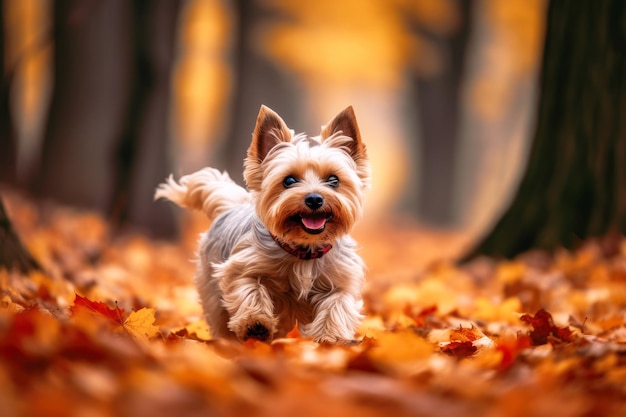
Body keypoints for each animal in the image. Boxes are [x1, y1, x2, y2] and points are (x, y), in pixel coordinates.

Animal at [155, 104, 368, 342]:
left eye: (333, 180)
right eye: (289, 180)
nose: (314, 199)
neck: (304, 251)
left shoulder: (342, 281)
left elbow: (336, 305)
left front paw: (331, 337)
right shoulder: (240, 268)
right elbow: (250, 290)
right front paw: (255, 323)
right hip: (210, 288)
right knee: (219, 317)